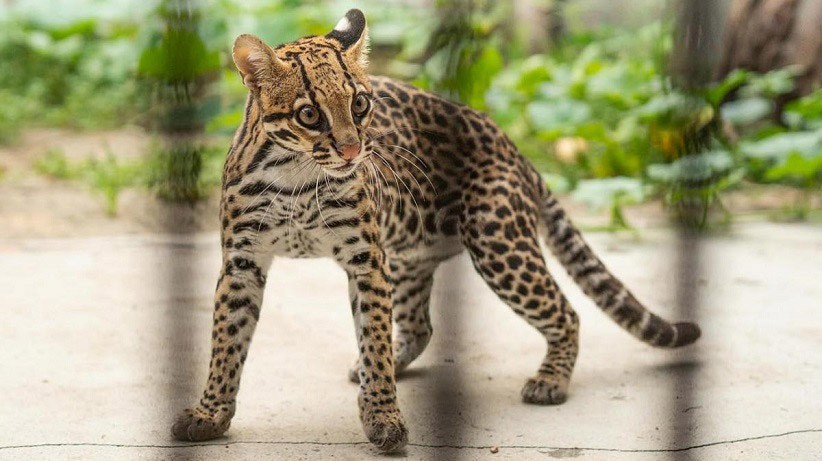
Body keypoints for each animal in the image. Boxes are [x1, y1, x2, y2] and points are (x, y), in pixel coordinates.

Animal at [172, 9, 700, 452]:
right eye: (309, 114)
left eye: (360, 104)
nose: (352, 151)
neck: (296, 176)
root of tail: (515, 148)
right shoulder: (242, 262)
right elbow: (226, 342)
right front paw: (210, 414)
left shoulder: (365, 260)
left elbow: (373, 336)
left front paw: (383, 418)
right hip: (409, 256)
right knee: (420, 326)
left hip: (496, 241)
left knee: (565, 312)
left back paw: (549, 381)